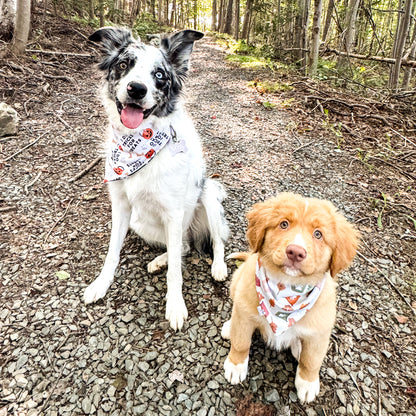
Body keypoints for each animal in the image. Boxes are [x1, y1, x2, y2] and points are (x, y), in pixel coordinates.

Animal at [83, 27, 229, 330]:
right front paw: (101, 284)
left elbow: (176, 272)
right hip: (140, 223)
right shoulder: (121, 206)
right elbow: (112, 252)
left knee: (214, 241)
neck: (138, 144)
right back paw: (159, 260)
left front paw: (175, 306)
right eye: (123, 64)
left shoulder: (173, 212)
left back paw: (218, 266)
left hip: (208, 194)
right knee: (183, 246)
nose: (136, 89)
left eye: (159, 74)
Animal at [221, 194, 360, 404]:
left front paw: (308, 383)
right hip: (237, 281)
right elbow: (241, 342)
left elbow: (311, 361)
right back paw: (229, 327)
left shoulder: (320, 333)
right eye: (284, 224)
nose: (295, 252)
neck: (285, 288)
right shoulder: (245, 315)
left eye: (318, 234)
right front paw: (236, 365)